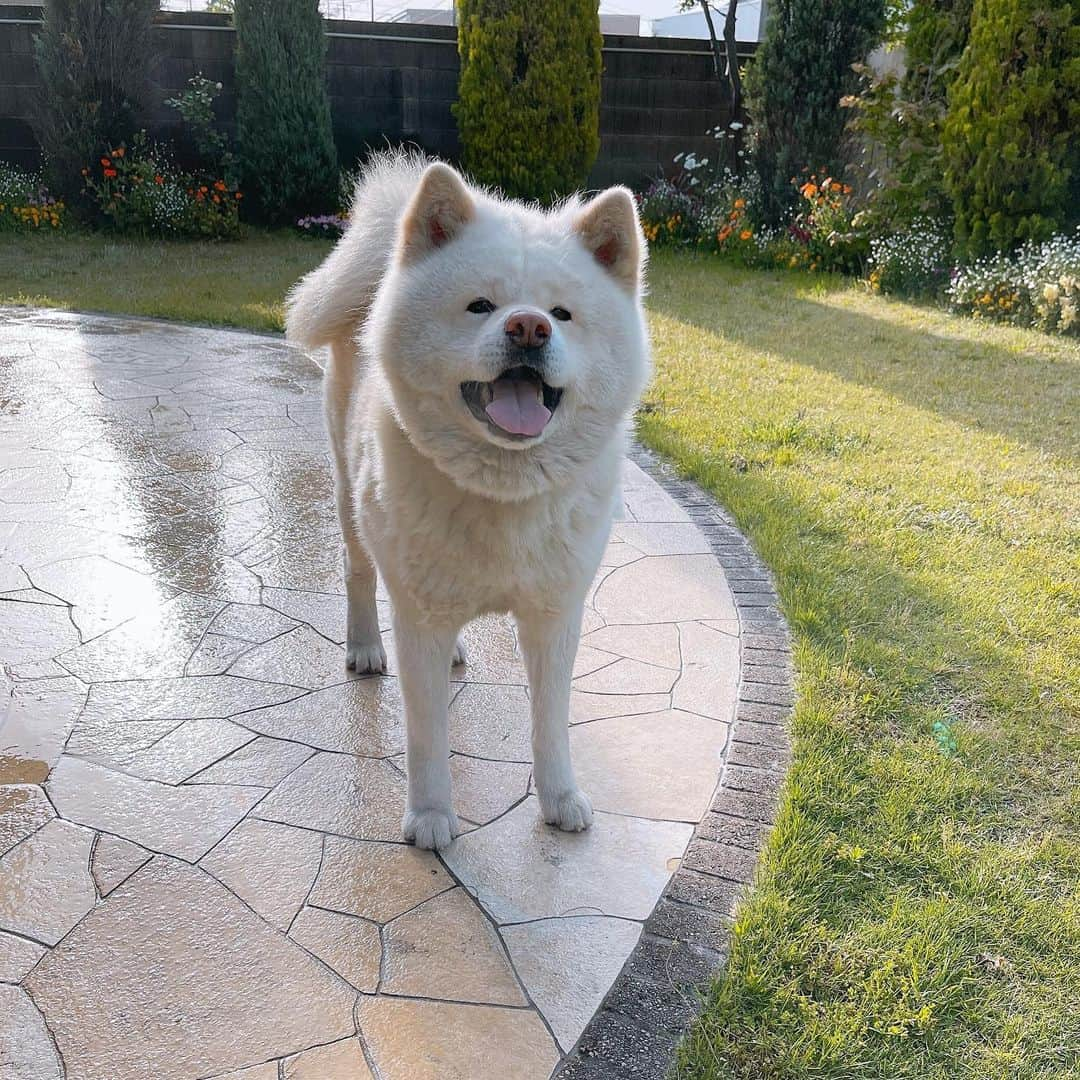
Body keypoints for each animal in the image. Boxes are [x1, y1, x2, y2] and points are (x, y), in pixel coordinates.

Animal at [287, 154, 648, 851]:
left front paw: (559, 799)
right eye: (480, 305)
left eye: (562, 313)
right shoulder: (420, 619)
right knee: (359, 573)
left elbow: (550, 722)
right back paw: (365, 647)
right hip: (349, 500)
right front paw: (430, 817)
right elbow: (426, 733)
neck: (501, 492)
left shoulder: (554, 615)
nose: (528, 326)